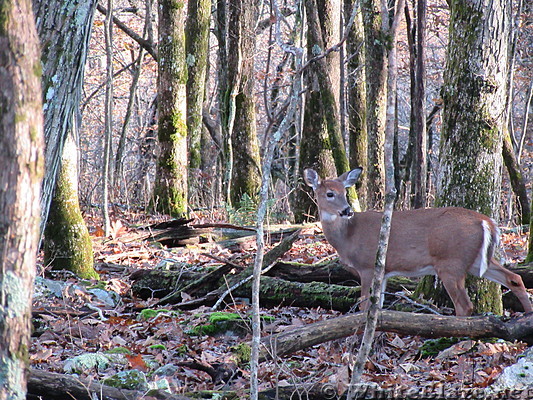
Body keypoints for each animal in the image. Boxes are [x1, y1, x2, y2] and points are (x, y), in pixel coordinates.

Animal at [304, 166, 532, 316]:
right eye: (330, 193)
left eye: (344, 192)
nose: (347, 210)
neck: (348, 236)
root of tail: (487, 221)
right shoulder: (383, 271)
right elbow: (378, 306)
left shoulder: (367, 265)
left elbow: (364, 305)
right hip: (475, 260)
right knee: (513, 278)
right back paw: (527, 316)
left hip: (451, 262)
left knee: (464, 304)